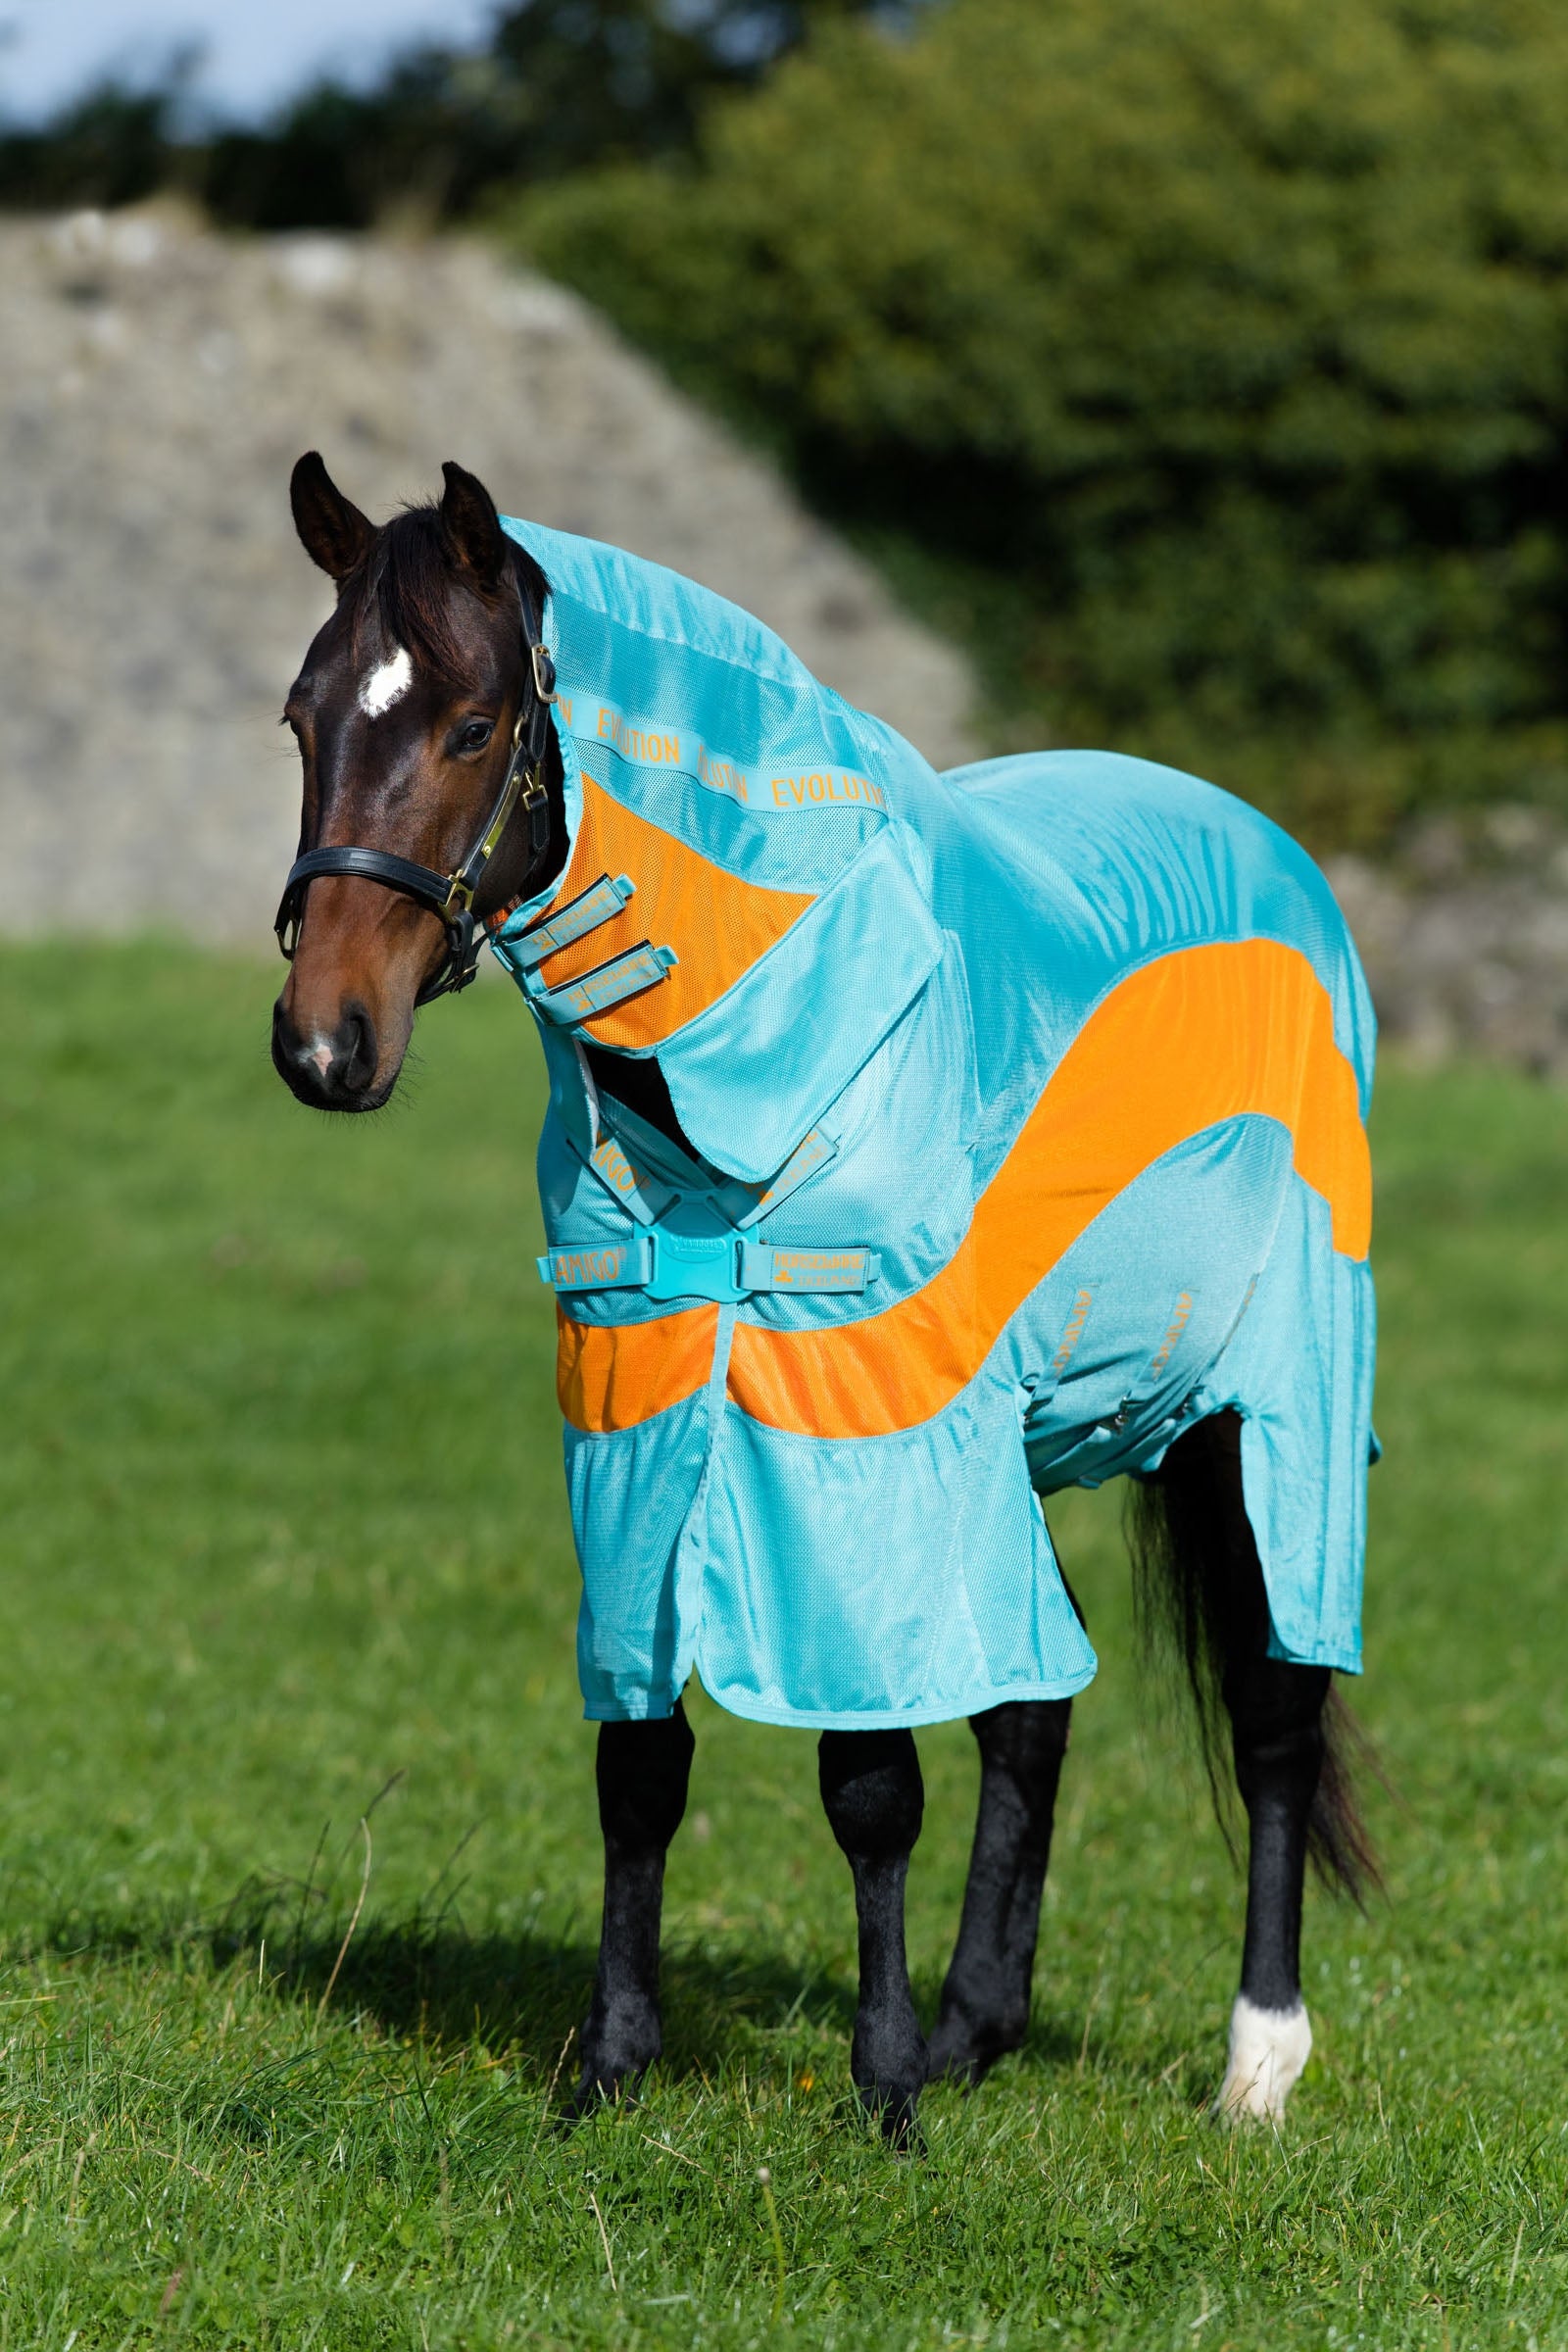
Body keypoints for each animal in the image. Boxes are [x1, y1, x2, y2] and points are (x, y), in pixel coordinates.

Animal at [271, 452, 1377, 2145]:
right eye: (303, 716)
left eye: (469, 726)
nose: (325, 1045)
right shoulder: (638, 1412)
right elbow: (641, 1767)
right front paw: (612, 2069)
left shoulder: (861, 1423)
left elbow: (871, 1786)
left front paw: (883, 2097)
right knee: (1035, 1700)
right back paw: (980, 2026)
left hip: (1267, 1402)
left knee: (1272, 1705)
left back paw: (1256, 2062)